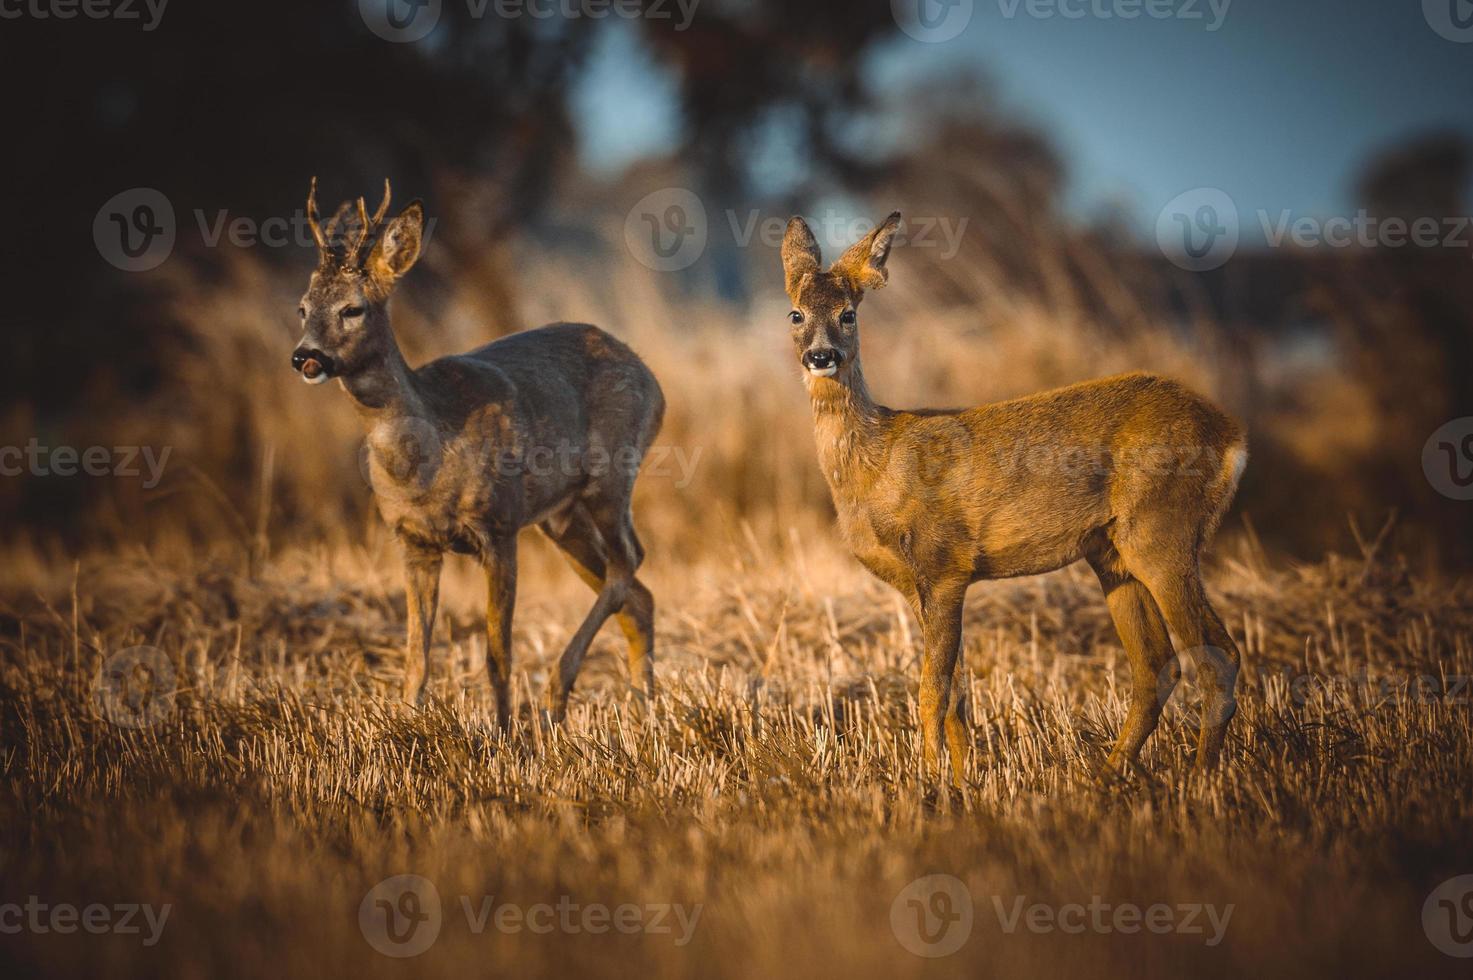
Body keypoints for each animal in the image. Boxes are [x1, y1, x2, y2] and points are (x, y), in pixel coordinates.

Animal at [291, 179, 662, 722]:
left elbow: (497, 654)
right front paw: (408, 725)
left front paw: (504, 732)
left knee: (630, 560)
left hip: (611, 479)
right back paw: (641, 707)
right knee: (638, 596)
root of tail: (652, 378)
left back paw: (558, 693)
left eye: (352, 308)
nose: (305, 357)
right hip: (560, 518)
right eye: (302, 307)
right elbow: (416, 657)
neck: (423, 461)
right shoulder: (413, 541)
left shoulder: (499, 526)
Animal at [777, 213, 1249, 789]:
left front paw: (928, 783)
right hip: (1113, 552)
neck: (878, 464)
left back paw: (1200, 780)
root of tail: (1231, 437)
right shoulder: (918, 585)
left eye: (848, 314)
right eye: (796, 313)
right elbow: (956, 696)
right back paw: (1104, 776)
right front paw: (961, 784)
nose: (821, 356)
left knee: (1217, 655)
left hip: (1163, 531)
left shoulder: (944, 564)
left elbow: (932, 691)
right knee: (1157, 664)